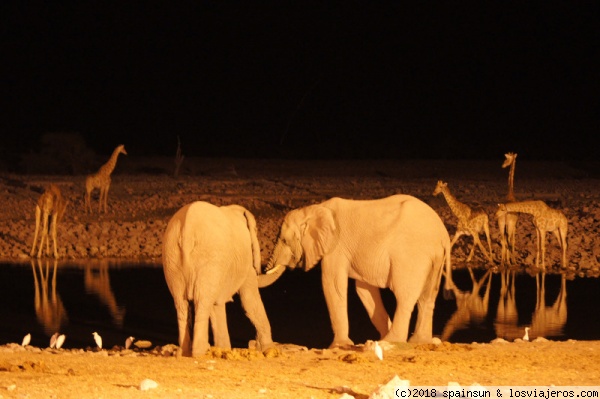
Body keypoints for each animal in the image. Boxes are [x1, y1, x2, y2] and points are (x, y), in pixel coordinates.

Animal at [162, 202, 278, 358]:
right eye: (256, 230)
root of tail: (187, 229)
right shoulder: (246, 259)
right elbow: (249, 300)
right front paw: (269, 349)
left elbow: (217, 303)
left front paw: (223, 349)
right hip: (208, 257)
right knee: (202, 301)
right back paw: (200, 352)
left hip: (172, 257)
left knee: (182, 303)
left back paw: (184, 352)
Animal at [264, 195, 452, 348]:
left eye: (284, 240)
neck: (316, 208)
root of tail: (443, 234)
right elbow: (364, 290)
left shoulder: (336, 247)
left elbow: (332, 284)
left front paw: (338, 346)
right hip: (434, 258)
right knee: (427, 297)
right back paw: (418, 341)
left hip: (411, 256)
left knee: (405, 296)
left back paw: (392, 340)